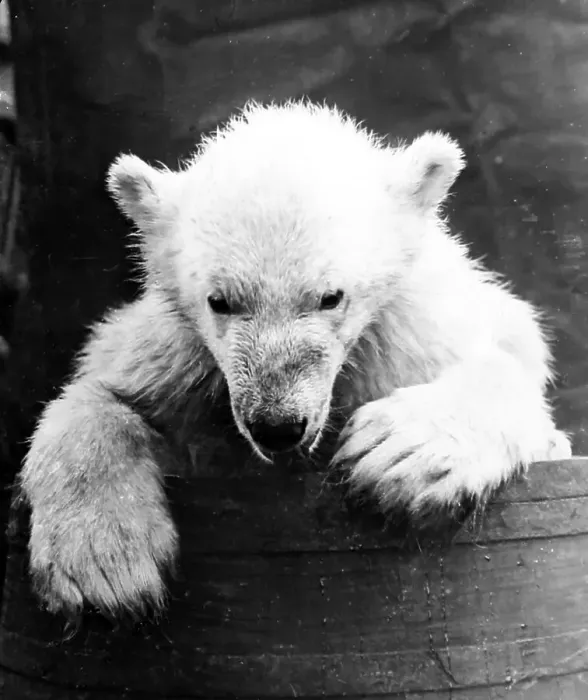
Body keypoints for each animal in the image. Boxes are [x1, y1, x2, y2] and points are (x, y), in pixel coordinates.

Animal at [19, 100, 572, 618]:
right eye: (219, 300)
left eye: (331, 296)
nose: (277, 425)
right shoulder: (177, 356)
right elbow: (103, 391)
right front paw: (101, 561)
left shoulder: (414, 333)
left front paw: (400, 449)